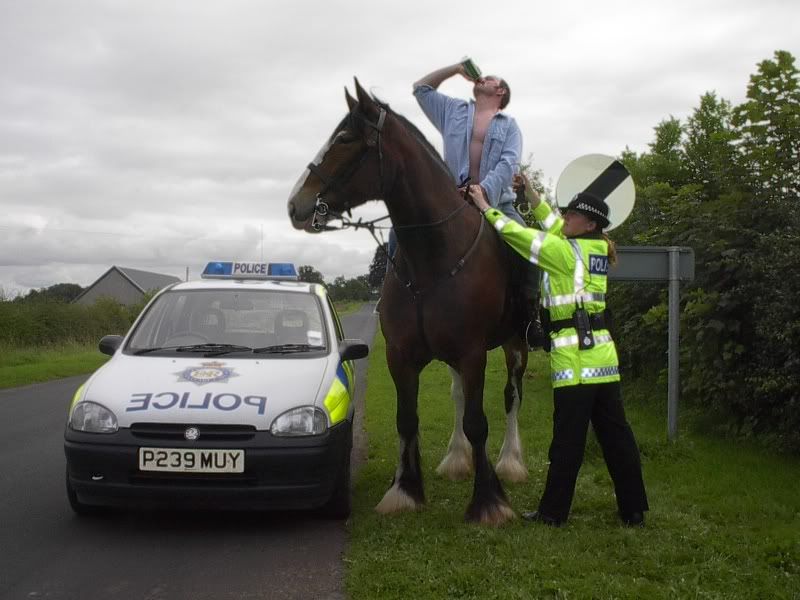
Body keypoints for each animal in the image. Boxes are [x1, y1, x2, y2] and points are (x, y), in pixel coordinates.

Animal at [287, 79, 531, 525]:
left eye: (345, 139)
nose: (296, 203)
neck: (433, 256)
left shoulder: (473, 353)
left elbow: (478, 422)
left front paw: (489, 500)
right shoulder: (400, 355)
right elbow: (407, 419)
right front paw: (405, 489)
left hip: (515, 344)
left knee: (512, 396)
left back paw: (509, 462)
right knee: (457, 396)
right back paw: (456, 458)